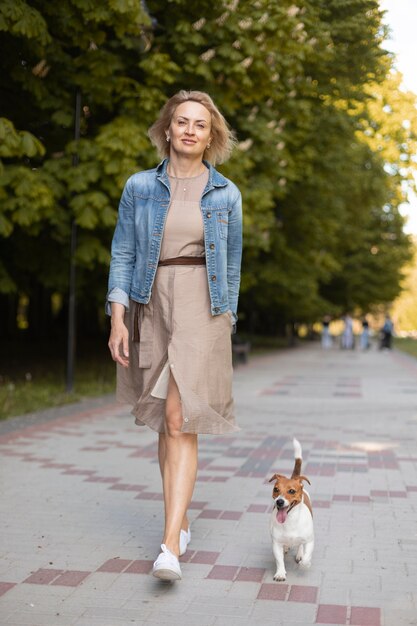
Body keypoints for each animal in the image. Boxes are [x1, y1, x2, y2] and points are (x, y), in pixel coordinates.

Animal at [268, 436, 314, 576]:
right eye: (276, 489)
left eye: (292, 491)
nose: (279, 502)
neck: (290, 521)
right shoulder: (276, 543)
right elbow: (279, 560)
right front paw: (280, 574)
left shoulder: (310, 540)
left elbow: (306, 555)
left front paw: (305, 562)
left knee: (300, 546)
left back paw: (299, 554)